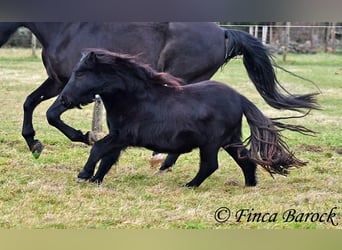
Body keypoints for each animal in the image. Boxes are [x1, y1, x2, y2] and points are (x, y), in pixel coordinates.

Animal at [0, 22, 318, 158]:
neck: (66, 29)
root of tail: (223, 31)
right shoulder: (57, 81)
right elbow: (30, 103)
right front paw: (33, 143)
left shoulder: (73, 85)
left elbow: (53, 114)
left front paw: (85, 136)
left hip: (185, 79)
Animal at [48, 48, 312, 187]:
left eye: (81, 73)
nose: (65, 100)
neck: (133, 98)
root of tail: (239, 98)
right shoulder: (117, 137)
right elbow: (107, 158)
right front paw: (95, 179)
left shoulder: (123, 135)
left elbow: (98, 149)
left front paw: (83, 175)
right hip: (230, 140)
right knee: (246, 160)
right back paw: (250, 185)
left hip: (211, 143)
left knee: (210, 165)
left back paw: (190, 185)